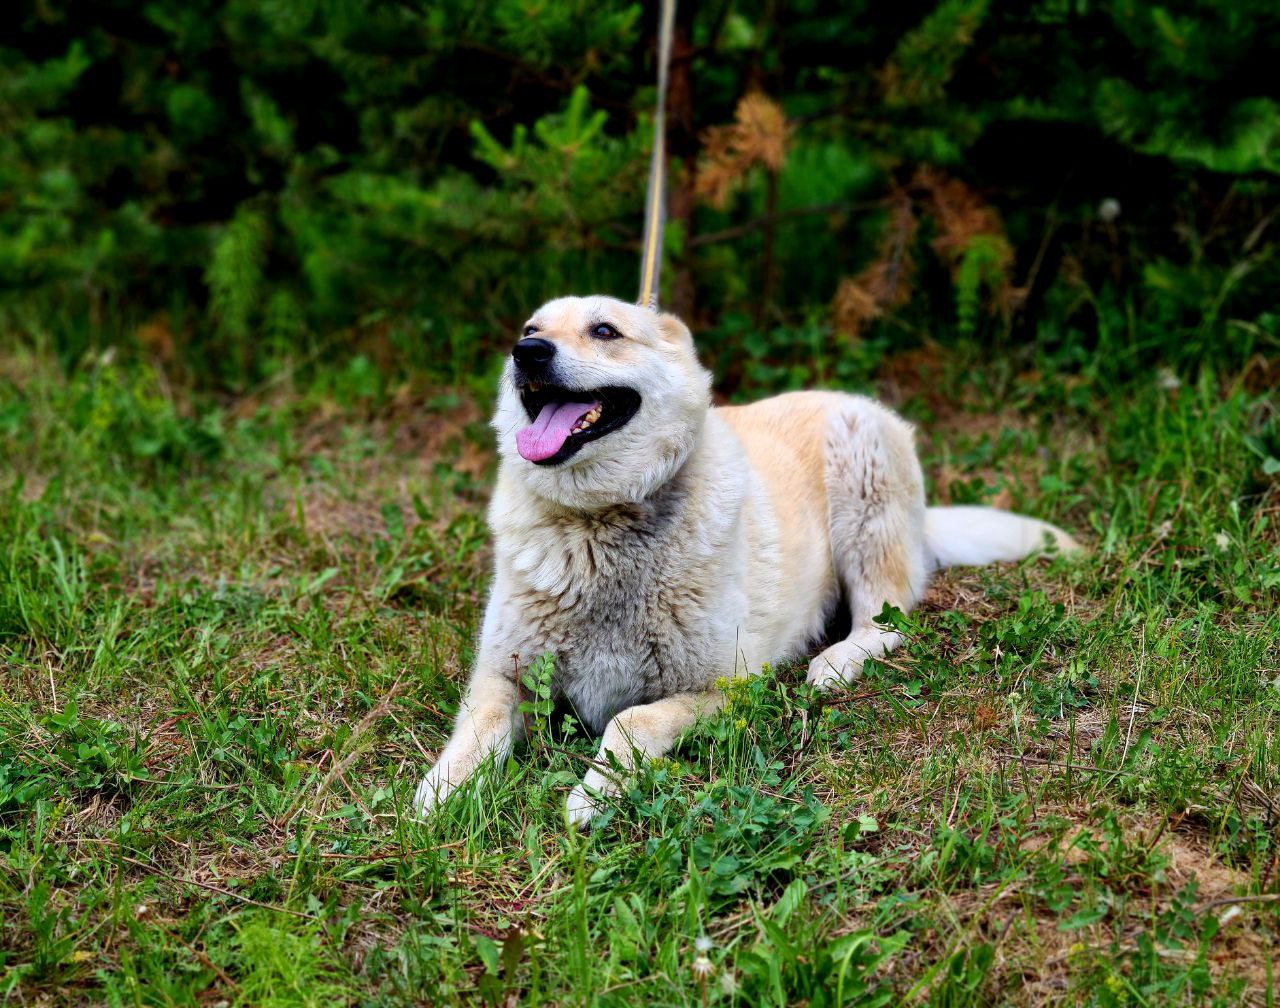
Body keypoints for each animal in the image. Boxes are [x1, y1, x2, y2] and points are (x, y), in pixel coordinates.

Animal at [414, 292, 1075, 828]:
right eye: (531, 327)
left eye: (604, 330)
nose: (526, 352)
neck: (602, 520)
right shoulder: (502, 675)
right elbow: (477, 730)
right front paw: (437, 794)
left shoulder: (728, 687)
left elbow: (631, 723)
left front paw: (592, 795)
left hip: (860, 481)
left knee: (888, 620)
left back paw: (835, 662)